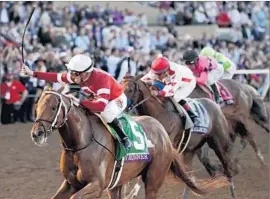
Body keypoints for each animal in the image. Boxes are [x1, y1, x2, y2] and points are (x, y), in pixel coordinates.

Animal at [30, 87, 224, 199]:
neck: (81, 143)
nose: (37, 134)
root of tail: (161, 131)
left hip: (154, 178)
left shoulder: (96, 185)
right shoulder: (71, 183)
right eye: (37, 105)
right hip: (118, 183)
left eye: (53, 107)